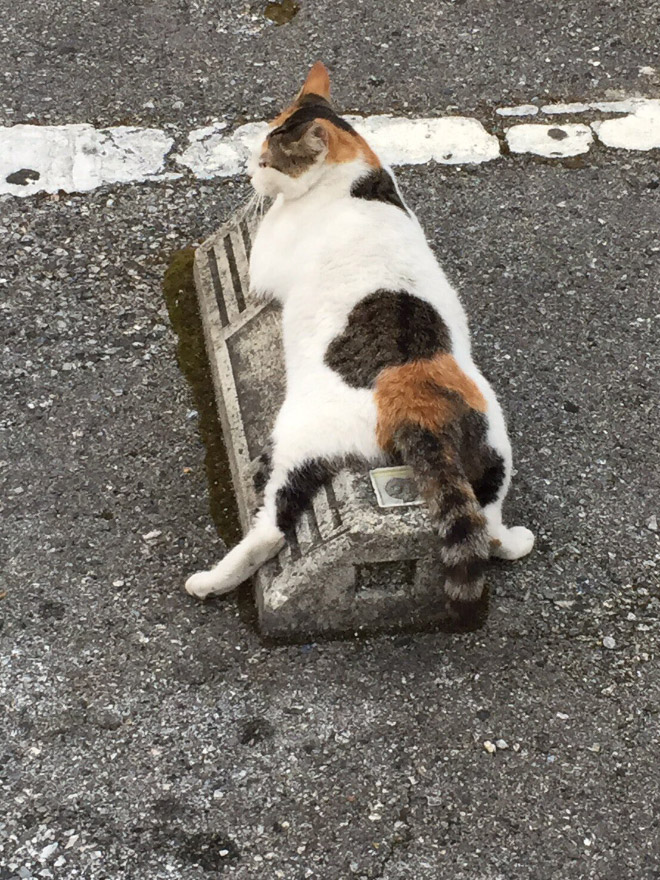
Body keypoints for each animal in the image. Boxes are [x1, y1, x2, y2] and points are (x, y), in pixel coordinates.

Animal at [183, 62, 532, 612]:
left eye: (265, 158)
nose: (248, 172)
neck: (359, 178)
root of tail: (419, 400)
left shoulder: (265, 262)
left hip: (302, 438)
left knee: (273, 526)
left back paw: (211, 580)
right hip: (492, 450)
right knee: (490, 529)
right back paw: (514, 537)